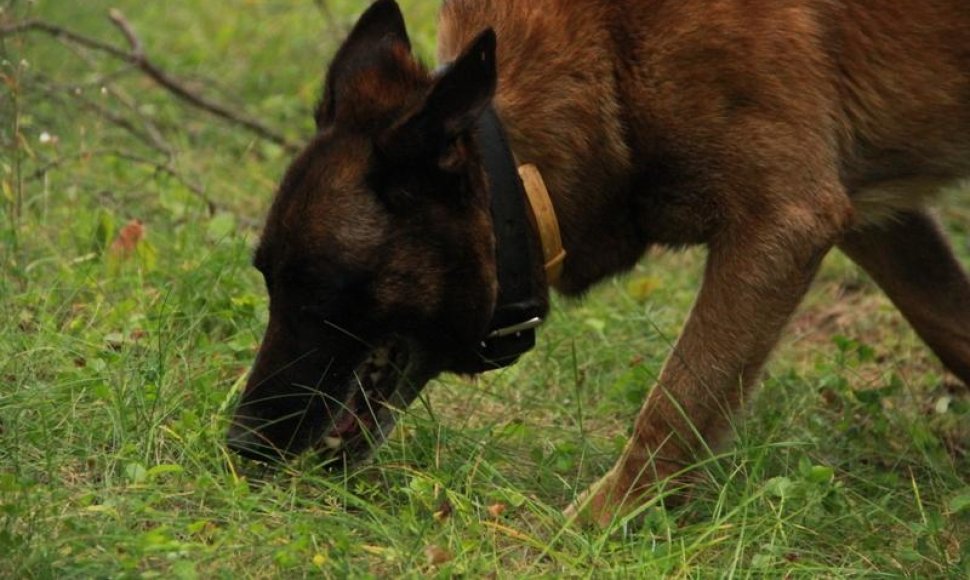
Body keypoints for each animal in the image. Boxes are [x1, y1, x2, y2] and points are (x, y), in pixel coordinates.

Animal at [229, 0, 968, 524]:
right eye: (268, 278)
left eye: (319, 291)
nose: (239, 446)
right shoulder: (872, 216)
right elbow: (951, 326)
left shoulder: (783, 221)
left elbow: (675, 406)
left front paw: (586, 533)